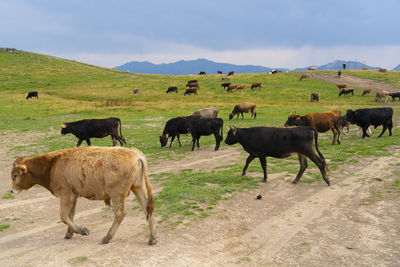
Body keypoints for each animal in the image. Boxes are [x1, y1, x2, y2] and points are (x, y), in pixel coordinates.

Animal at [9, 148, 156, 246]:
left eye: (15, 175)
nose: (11, 190)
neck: (52, 165)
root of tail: (135, 154)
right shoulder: (73, 196)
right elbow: (70, 215)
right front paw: (69, 233)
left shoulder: (66, 195)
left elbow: (63, 216)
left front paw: (82, 230)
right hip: (138, 187)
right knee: (147, 209)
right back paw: (153, 238)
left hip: (117, 195)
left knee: (120, 214)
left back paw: (107, 237)